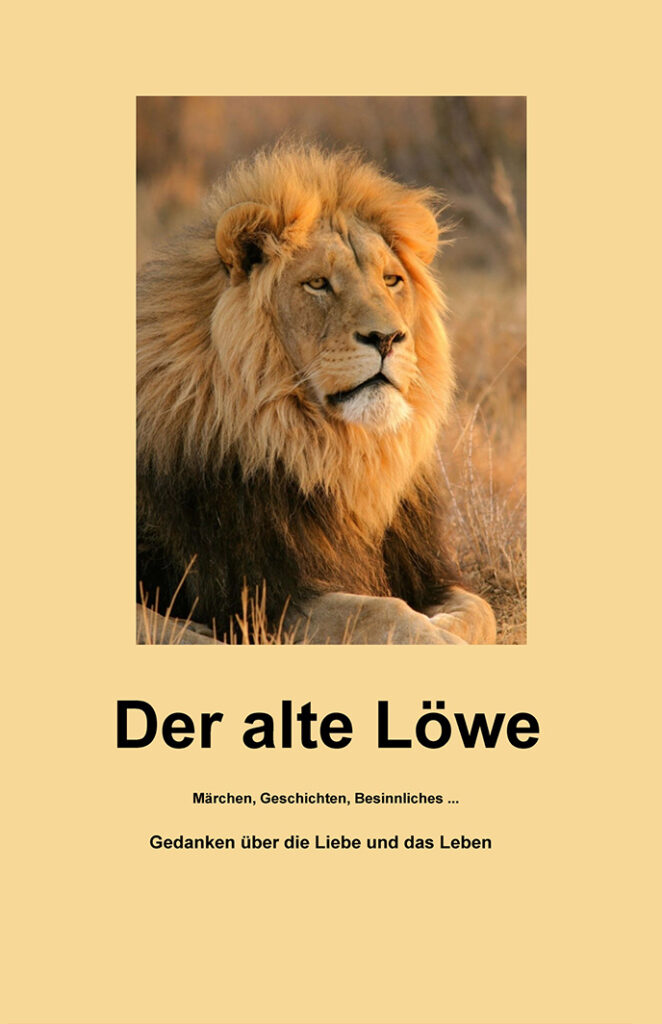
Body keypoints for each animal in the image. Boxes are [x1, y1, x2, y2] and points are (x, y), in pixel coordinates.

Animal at [137, 143, 496, 644]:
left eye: (391, 280)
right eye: (318, 283)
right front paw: (438, 639)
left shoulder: (421, 571)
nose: (387, 338)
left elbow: (481, 610)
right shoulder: (265, 595)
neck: (336, 456)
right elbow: (381, 612)